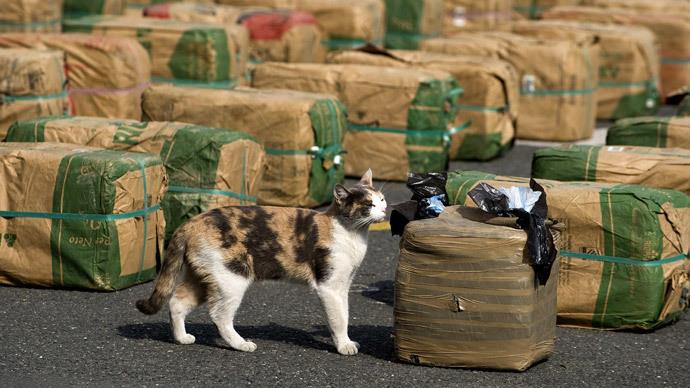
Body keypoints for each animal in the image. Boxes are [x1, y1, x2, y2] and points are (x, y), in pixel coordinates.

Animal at [134, 168, 382, 356]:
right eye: (368, 205)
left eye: (381, 200)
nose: (383, 210)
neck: (352, 235)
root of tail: (191, 222)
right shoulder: (329, 286)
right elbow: (338, 318)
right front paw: (344, 346)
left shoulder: (344, 285)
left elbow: (345, 313)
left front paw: (347, 340)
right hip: (232, 279)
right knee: (219, 315)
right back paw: (241, 344)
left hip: (203, 279)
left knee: (177, 302)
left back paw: (182, 338)